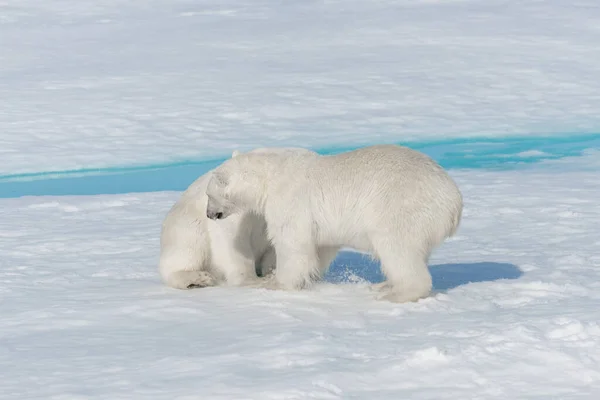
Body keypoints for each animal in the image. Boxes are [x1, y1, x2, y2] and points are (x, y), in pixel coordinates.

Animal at [159, 145, 318, 290]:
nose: (209, 214)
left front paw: (271, 272)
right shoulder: (237, 212)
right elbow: (232, 240)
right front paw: (250, 280)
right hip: (186, 224)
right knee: (188, 247)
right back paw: (197, 278)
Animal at [205, 145, 464, 304]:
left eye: (209, 195)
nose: (209, 215)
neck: (269, 175)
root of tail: (454, 202)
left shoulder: (290, 200)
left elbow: (293, 245)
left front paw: (274, 283)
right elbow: (321, 248)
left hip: (400, 208)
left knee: (397, 249)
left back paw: (396, 293)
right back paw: (383, 285)